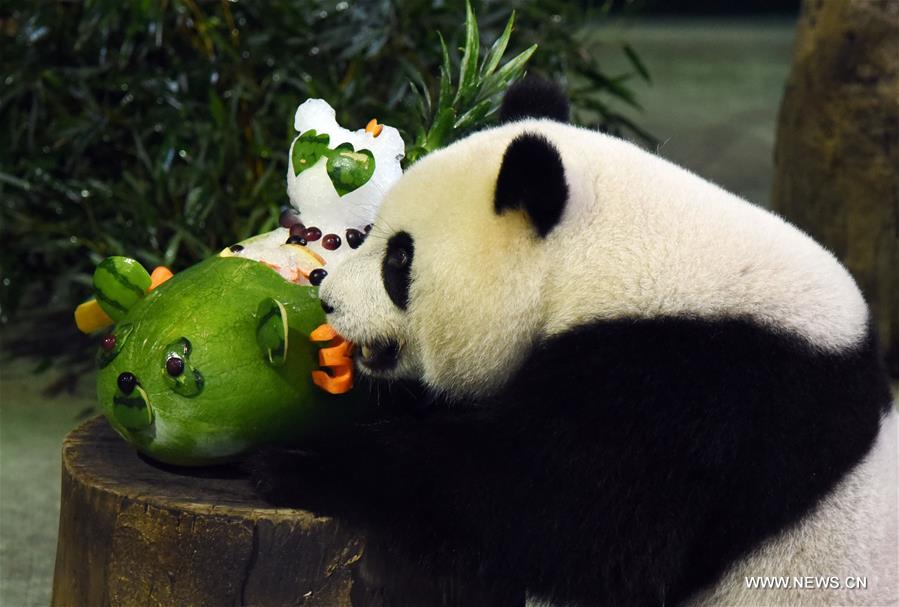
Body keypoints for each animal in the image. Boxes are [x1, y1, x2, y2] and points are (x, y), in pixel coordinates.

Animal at [255, 82, 899, 607]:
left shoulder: (693, 392)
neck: (606, 256)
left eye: (399, 259)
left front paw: (296, 461)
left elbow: (558, 516)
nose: (329, 299)